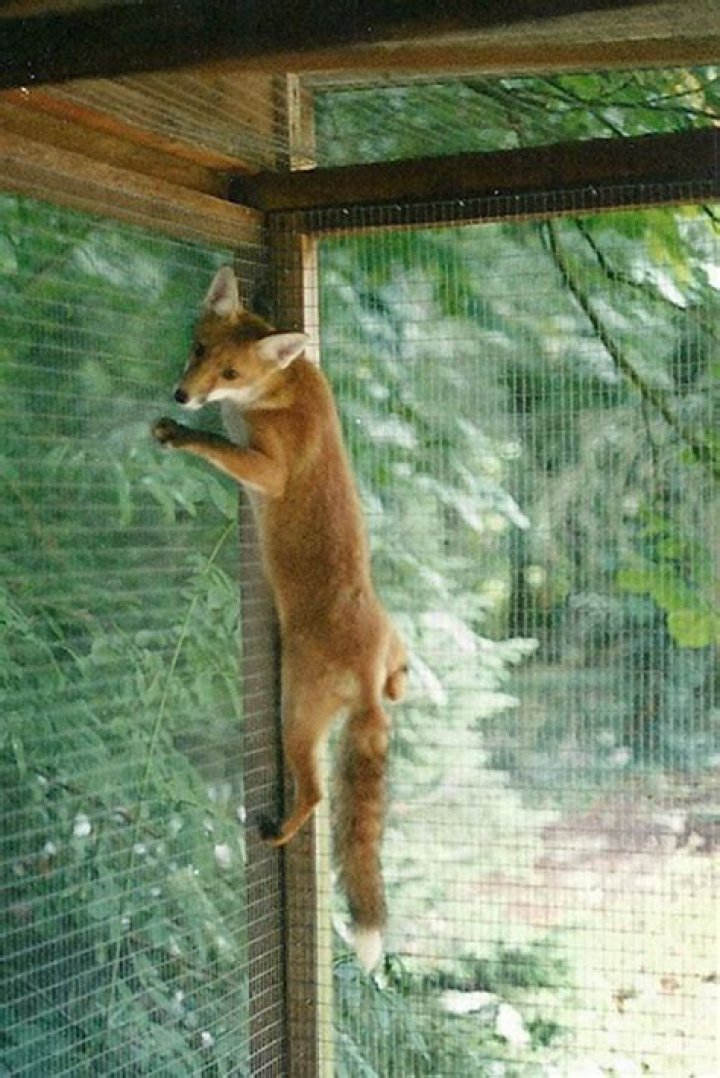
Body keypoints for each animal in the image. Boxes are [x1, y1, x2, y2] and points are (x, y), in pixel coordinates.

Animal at [152, 266, 406, 971]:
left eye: (230, 372)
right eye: (197, 350)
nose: (183, 395)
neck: (283, 389)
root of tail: (368, 677)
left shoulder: (269, 469)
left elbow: (219, 447)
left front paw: (184, 435)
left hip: (296, 713)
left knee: (317, 795)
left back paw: (279, 829)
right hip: (385, 652)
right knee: (399, 676)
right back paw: (404, 678)